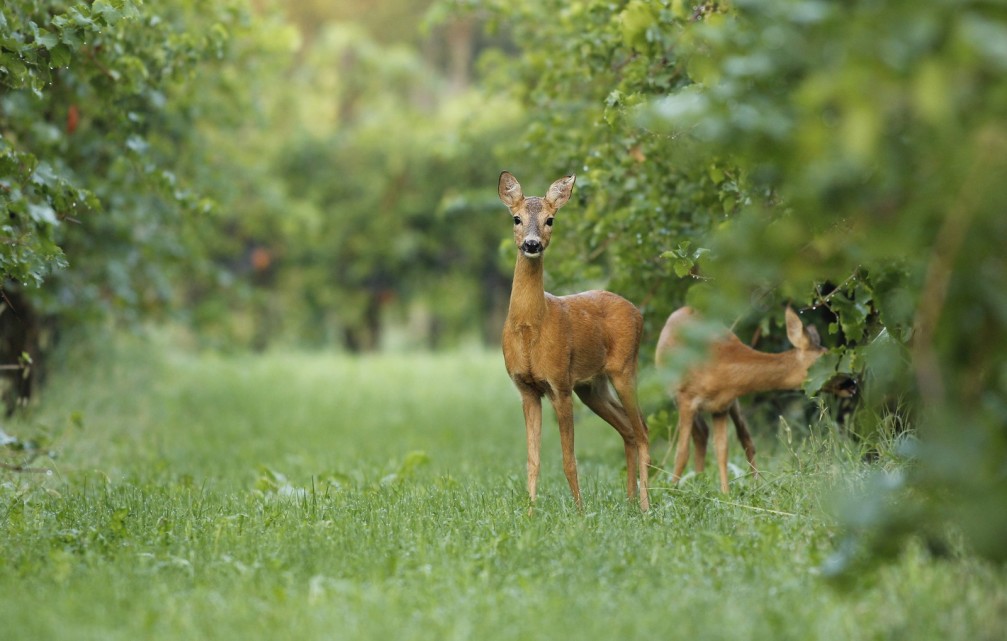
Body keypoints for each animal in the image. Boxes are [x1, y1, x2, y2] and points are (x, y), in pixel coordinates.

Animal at [497, 170, 652, 509]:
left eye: (550, 219)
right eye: (516, 218)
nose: (532, 244)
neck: (530, 328)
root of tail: (638, 312)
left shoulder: (559, 383)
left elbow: (569, 460)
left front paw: (580, 512)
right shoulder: (526, 389)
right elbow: (533, 459)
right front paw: (530, 511)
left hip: (625, 369)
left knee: (643, 430)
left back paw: (646, 506)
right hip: (592, 387)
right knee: (628, 430)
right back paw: (630, 501)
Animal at [652, 303, 825, 489]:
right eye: (824, 358)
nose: (841, 381)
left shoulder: (721, 406)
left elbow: (722, 450)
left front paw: (725, 492)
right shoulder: (686, 399)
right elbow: (682, 452)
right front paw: (671, 489)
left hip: (732, 403)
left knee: (737, 437)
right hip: (677, 397)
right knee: (701, 435)